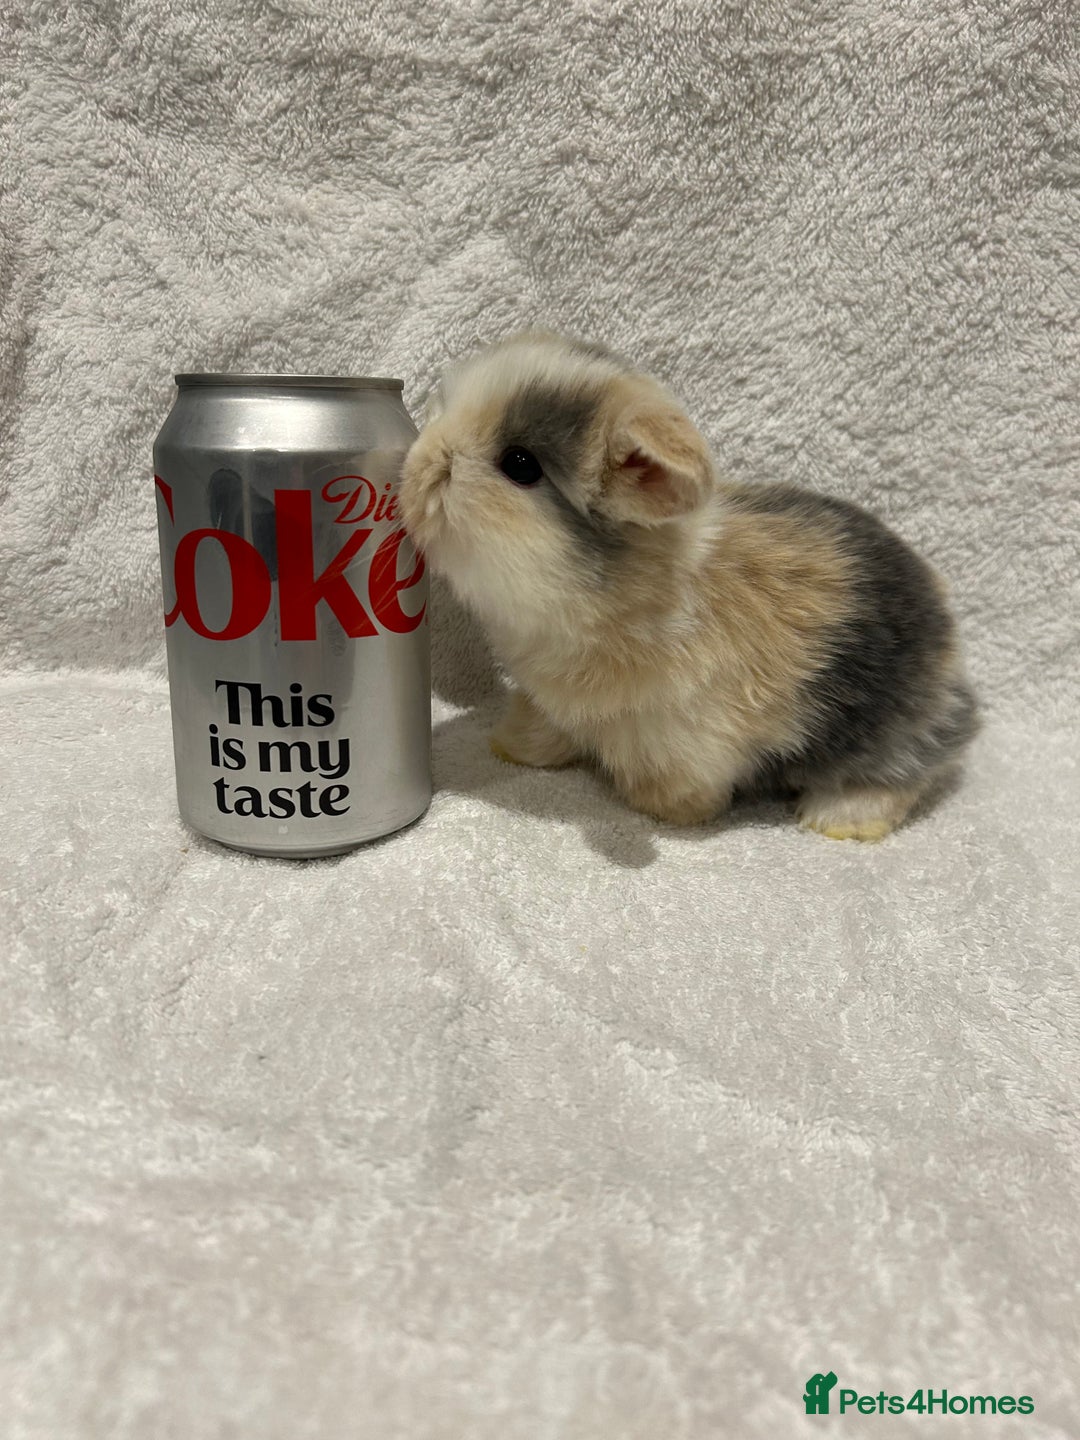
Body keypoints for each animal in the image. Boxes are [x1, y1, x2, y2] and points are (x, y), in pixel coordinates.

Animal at [399, 331, 977, 840]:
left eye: (519, 464)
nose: (416, 466)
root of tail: (950, 648)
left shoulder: (689, 739)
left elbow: (675, 781)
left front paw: (667, 811)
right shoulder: (549, 700)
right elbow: (546, 729)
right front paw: (510, 747)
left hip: (889, 731)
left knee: (903, 775)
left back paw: (838, 821)